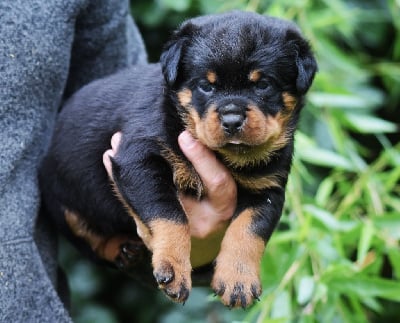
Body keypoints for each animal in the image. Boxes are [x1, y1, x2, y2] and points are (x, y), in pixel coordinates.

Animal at [39, 10, 316, 308]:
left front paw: (238, 279)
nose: (232, 119)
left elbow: (250, 229)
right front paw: (173, 267)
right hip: (62, 204)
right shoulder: (138, 159)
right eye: (206, 86)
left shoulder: (267, 189)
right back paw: (122, 249)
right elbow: (170, 213)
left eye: (263, 84)